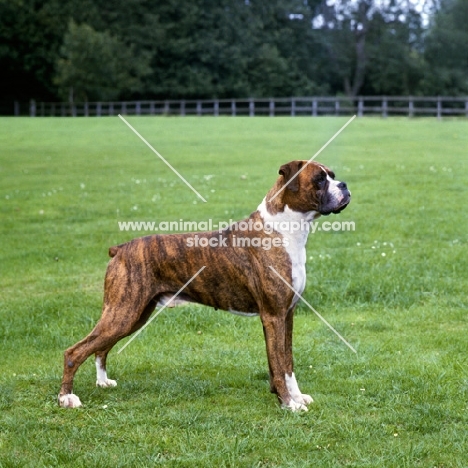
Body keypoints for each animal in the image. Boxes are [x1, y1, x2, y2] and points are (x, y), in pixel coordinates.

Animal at [58, 159, 350, 412]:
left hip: (133, 314)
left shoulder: (287, 314)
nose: (345, 185)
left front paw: (295, 397)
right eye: (319, 179)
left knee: (100, 348)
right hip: (123, 312)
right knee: (75, 351)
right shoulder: (273, 316)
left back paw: (102, 382)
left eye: (333, 175)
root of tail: (120, 249)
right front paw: (289, 405)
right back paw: (66, 398)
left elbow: (287, 363)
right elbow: (279, 365)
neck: (285, 229)